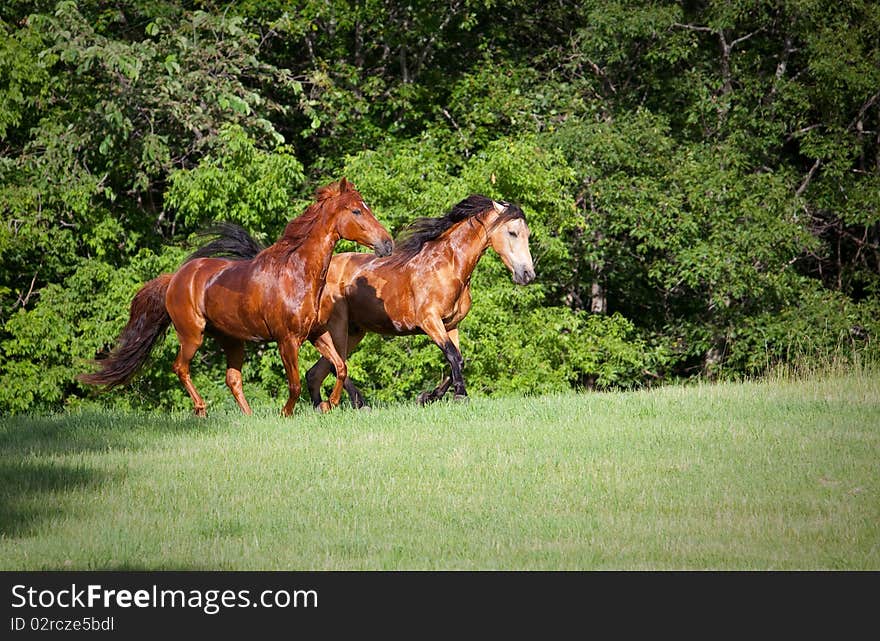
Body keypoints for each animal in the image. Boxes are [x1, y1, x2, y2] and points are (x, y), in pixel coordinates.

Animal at [81, 178, 394, 418]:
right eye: (356, 211)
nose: (387, 244)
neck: (297, 274)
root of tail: (175, 278)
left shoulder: (316, 334)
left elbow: (340, 367)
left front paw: (329, 404)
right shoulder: (287, 340)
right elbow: (294, 383)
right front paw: (286, 413)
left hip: (232, 339)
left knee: (232, 378)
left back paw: (248, 415)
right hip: (192, 335)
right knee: (181, 368)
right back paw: (201, 410)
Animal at [302, 192, 536, 408]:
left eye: (528, 234)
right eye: (512, 232)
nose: (527, 274)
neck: (448, 265)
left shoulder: (451, 325)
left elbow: (458, 360)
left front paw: (428, 397)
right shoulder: (429, 321)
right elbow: (453, 355)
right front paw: (460, 395)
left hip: (354, 332)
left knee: (317, 372)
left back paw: (322, 406)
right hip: (338, 327)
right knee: (337, 365)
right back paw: (360, 403)